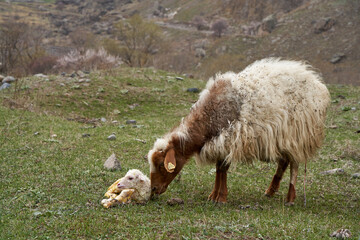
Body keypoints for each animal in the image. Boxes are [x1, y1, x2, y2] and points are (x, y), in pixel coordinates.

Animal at [148, 57, 330, 204]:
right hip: (283, 138)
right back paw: (270, 191)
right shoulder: (220, 142)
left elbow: (223, 168)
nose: (153, 190)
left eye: (161, 165)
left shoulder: (231, 139)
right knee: (284, 162)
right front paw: (213, 195)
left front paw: (221, 198)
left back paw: (290, 198)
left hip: (299, 134)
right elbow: (219, 169)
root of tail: (316, 81)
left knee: (294, 165)